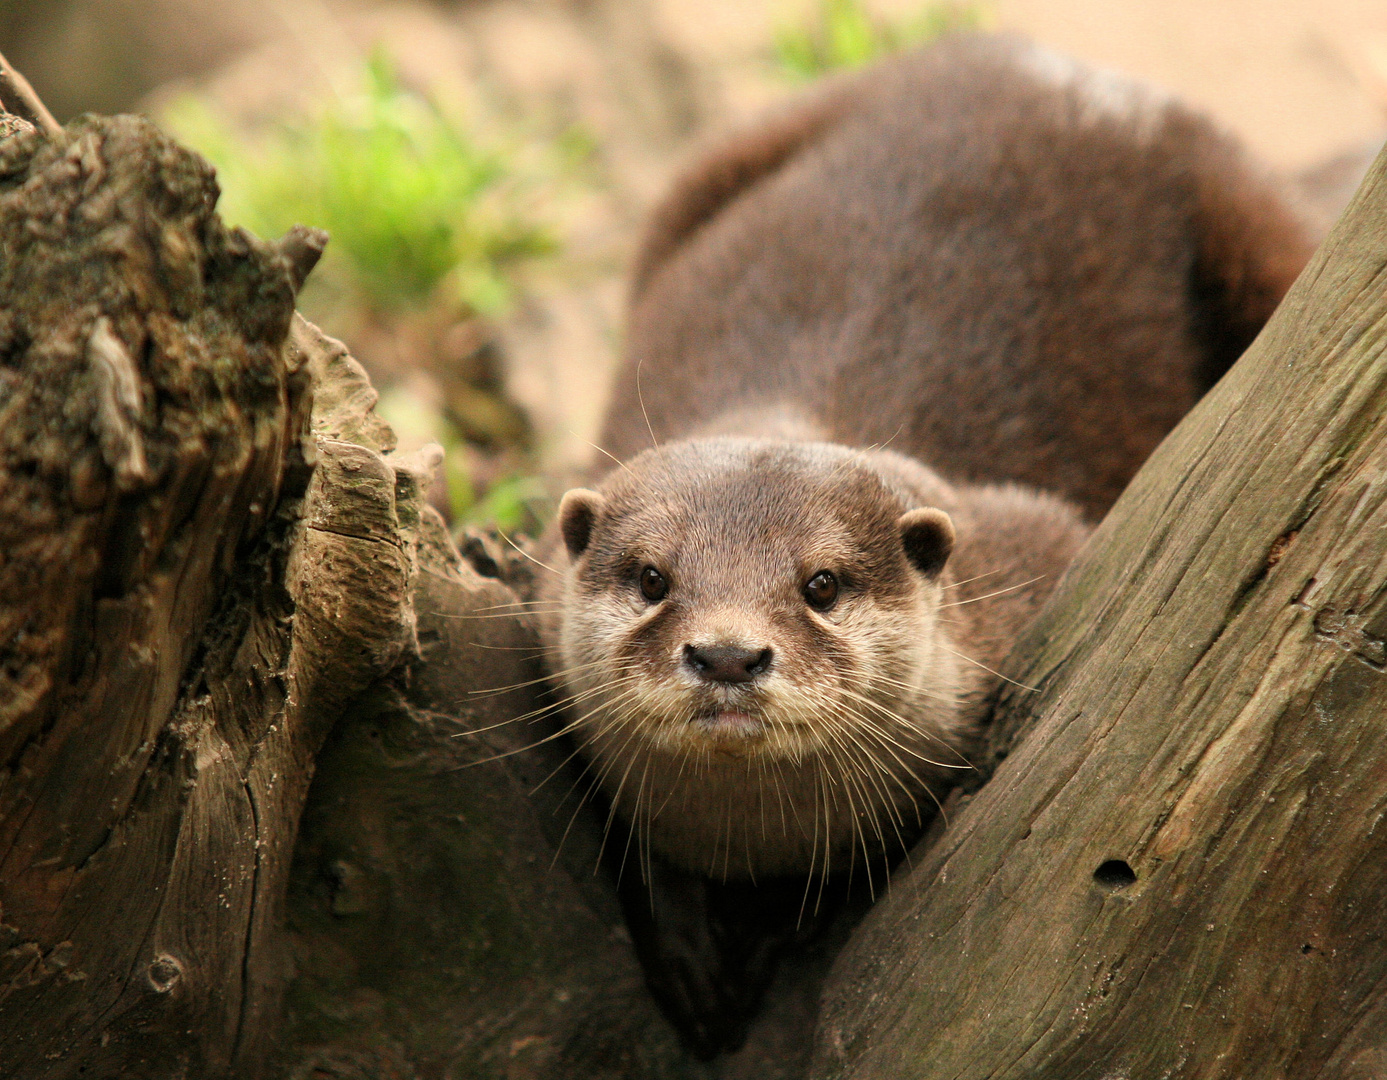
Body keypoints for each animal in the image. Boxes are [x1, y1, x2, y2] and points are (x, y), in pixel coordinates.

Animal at [529, 35, 1309, 1064]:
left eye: (821, 583)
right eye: (653, 577)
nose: (727, 654)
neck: (751, 840)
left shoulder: (1034, 550)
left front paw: (786, 926)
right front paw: (690, 949)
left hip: (1254, 228)